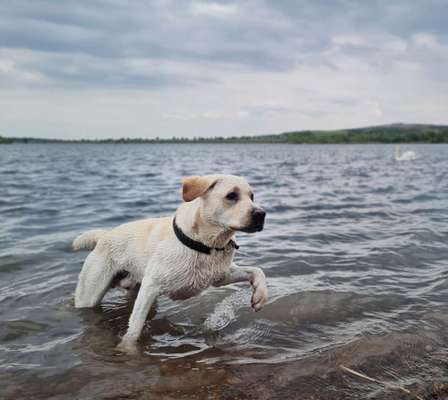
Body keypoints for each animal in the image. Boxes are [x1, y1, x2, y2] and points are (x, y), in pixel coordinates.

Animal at [72, 175, 268, 354]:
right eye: (231, 196)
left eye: (252, 196)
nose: (261, 214)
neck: (207, 245)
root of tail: (104, 236)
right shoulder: (150, 287)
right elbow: (134, 328)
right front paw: (128, 348)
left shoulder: (220, 276)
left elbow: (257, 270)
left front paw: (260, 296)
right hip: (90, 294)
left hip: (136, 290)